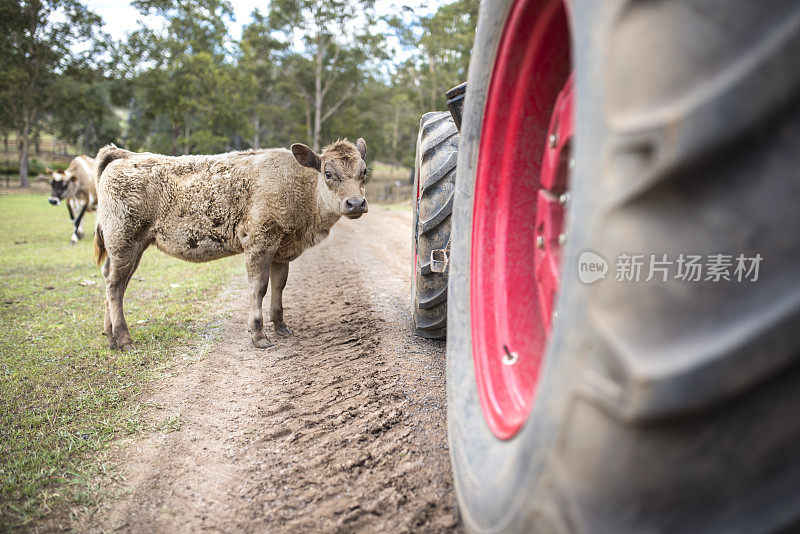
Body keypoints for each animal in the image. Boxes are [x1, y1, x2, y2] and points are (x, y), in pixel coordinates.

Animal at [95, 140, 370, 354]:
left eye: (364, 171)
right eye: (328, 173)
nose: (356, 203)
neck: (296, 185)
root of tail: (125, 155)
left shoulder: (282, 252)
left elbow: (279, 286)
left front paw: (281, 327)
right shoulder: (259, 243)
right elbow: (259, 288)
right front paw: (259, 335)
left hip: (132, 248)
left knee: (114, 281)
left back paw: (110, 336)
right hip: (124, 241)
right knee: (115, 285)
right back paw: (124, 338)